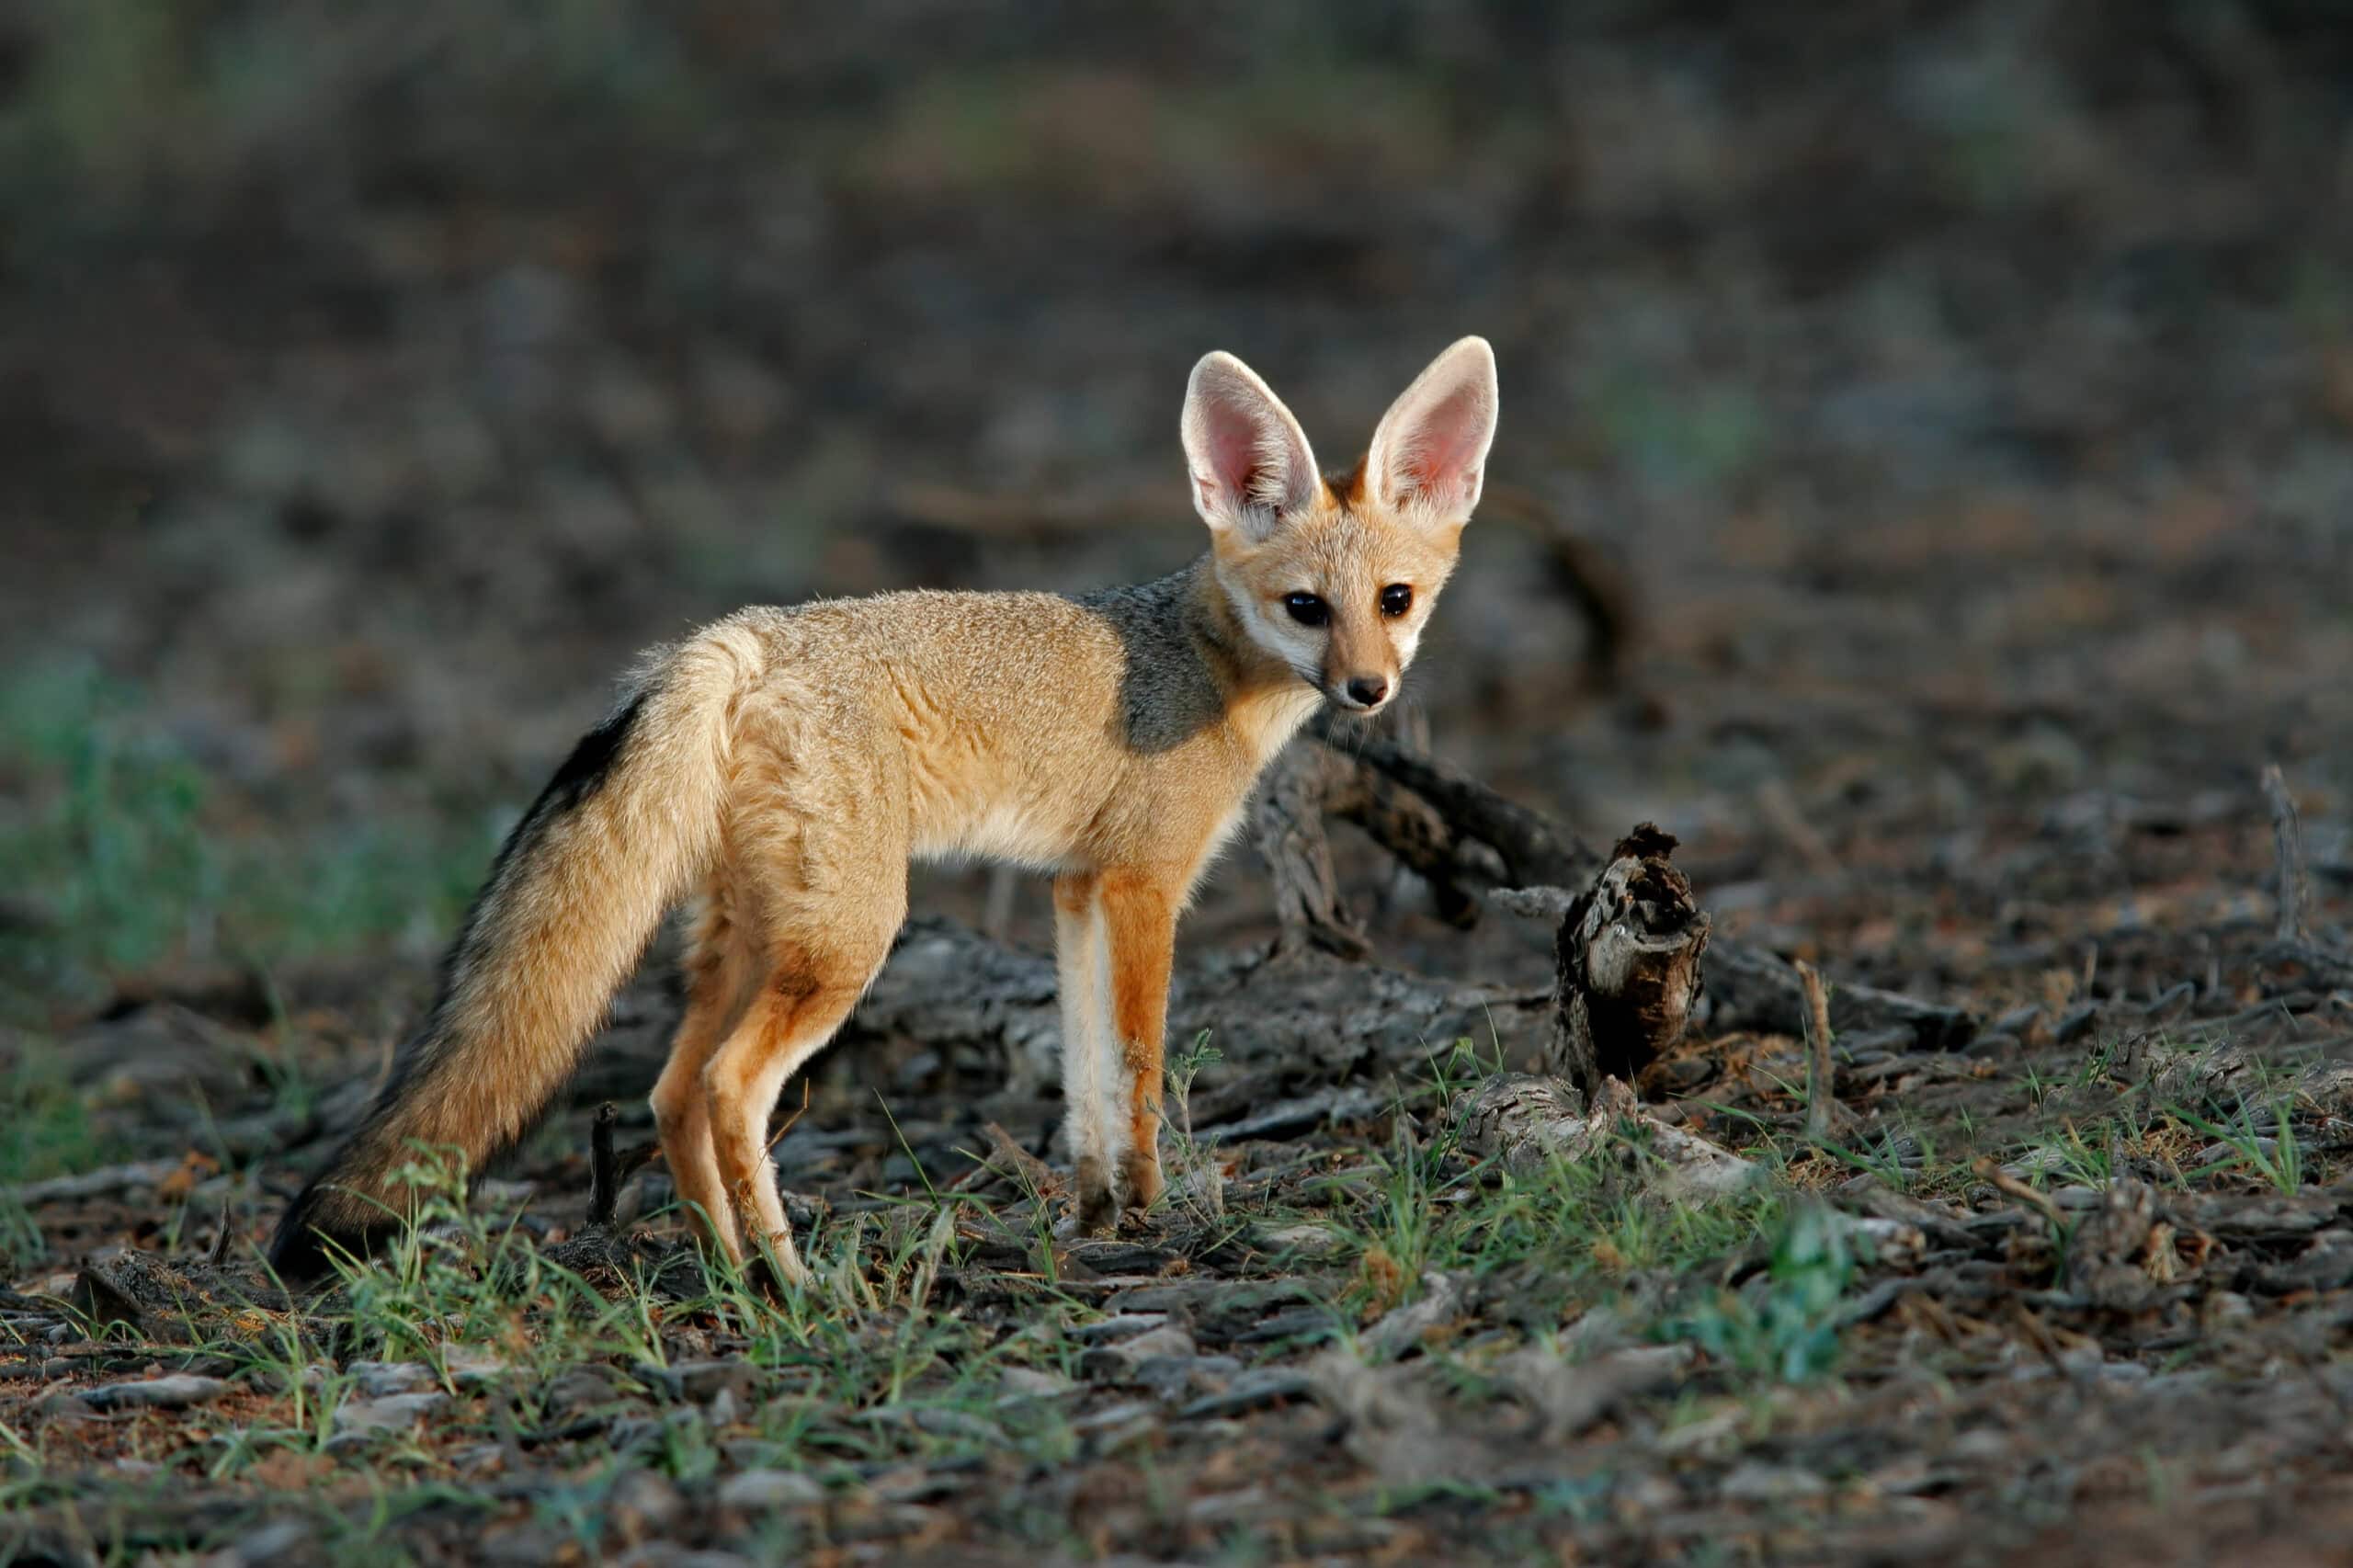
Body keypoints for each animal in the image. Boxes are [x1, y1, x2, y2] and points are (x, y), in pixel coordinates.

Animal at [267, 336, 1496, 1280]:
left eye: (1395, 601)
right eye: (1306, 608)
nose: (1367, 690)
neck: (1196, 658)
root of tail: (737, 636)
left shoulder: (1074, 889)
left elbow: (1083, 1077)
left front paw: (1093, 1210)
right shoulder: (1144, 884)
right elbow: (1139, 1067)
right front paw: (1151, 1211)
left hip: (753, 937)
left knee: (667, 1092)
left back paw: (734, 1272)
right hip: (851, 938)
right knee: (727, 1087)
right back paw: (795, 1279)